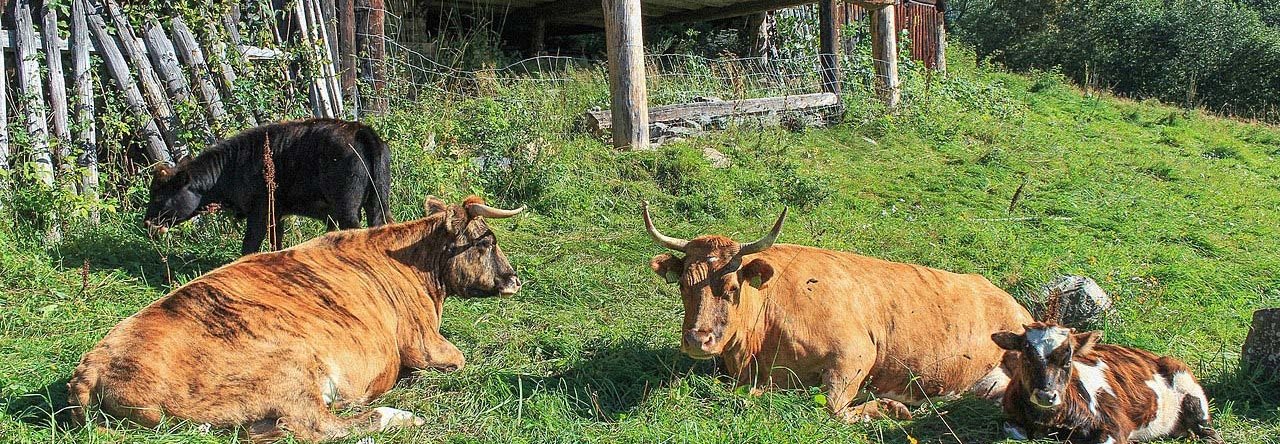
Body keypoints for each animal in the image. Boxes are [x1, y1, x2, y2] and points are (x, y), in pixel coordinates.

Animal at [63, 197, 524, 442]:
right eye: (486, 241)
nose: (514, 279)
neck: (413, 263)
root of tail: (93, 366)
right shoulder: (425, 342)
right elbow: (455, 359)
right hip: (290, 369)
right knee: (318, 426)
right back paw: (397, 416)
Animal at [645, 203, 1034, 422]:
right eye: (683, 285)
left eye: (732, 288)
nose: (698, 339)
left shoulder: (854, 355)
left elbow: (830, 409)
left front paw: (889, 408)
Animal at [988, 323, 1218, 444]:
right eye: (1026, 357)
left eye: (1068, 361)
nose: (1046, 395)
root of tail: (1156, 357)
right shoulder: (1010, 418)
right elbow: (1016, 431)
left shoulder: (1114, 424)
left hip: (1191, 392)